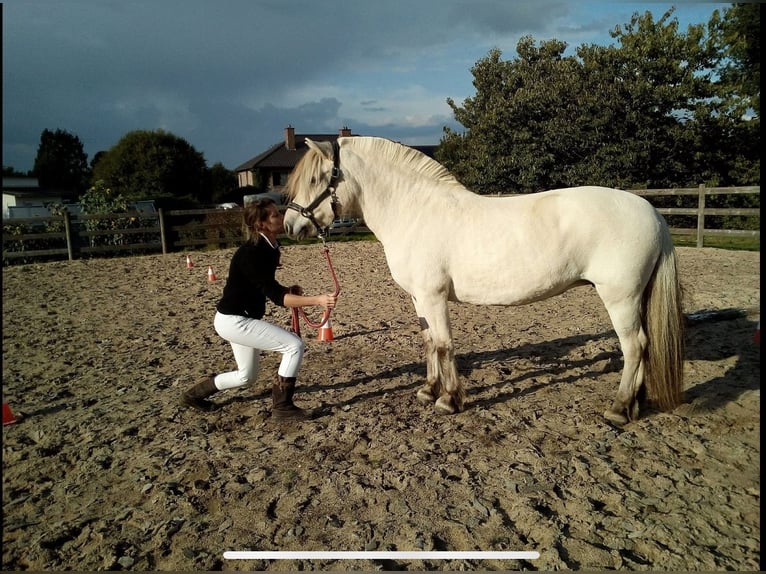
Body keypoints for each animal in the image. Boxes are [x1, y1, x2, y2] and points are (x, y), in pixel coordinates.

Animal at [283, 136, 685, 425]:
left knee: (635, 346)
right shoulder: (418, 299)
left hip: (620, 297)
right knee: (644, 347)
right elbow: (429, 342)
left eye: (317, 178)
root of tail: (652, 212)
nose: (290, 225)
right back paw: (635, 403)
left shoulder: (433, 296)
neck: (414, 210)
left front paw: (448, 400)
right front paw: (428, 391)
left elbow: (443, 344)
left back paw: (619, 409)